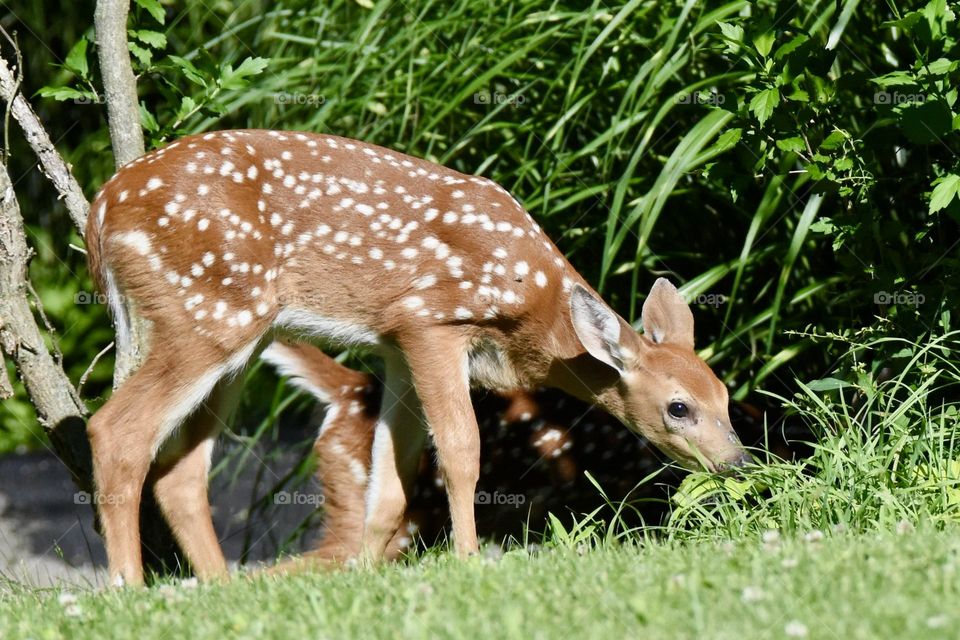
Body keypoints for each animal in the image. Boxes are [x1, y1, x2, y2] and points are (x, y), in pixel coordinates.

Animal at [85, 129, 749, 586]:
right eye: (679, 407)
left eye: (724, 398)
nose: (739, 463)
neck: (530, 308)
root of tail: (100, 210)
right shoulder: (432, 320)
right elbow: (459, 450)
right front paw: (468, 560)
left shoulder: (395, 345)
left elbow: (392, 483)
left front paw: (365, 577)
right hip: (208, 312)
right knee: (116, 429)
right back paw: (129, 588)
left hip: (237, 339)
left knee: (180, 468)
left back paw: (218, 587)